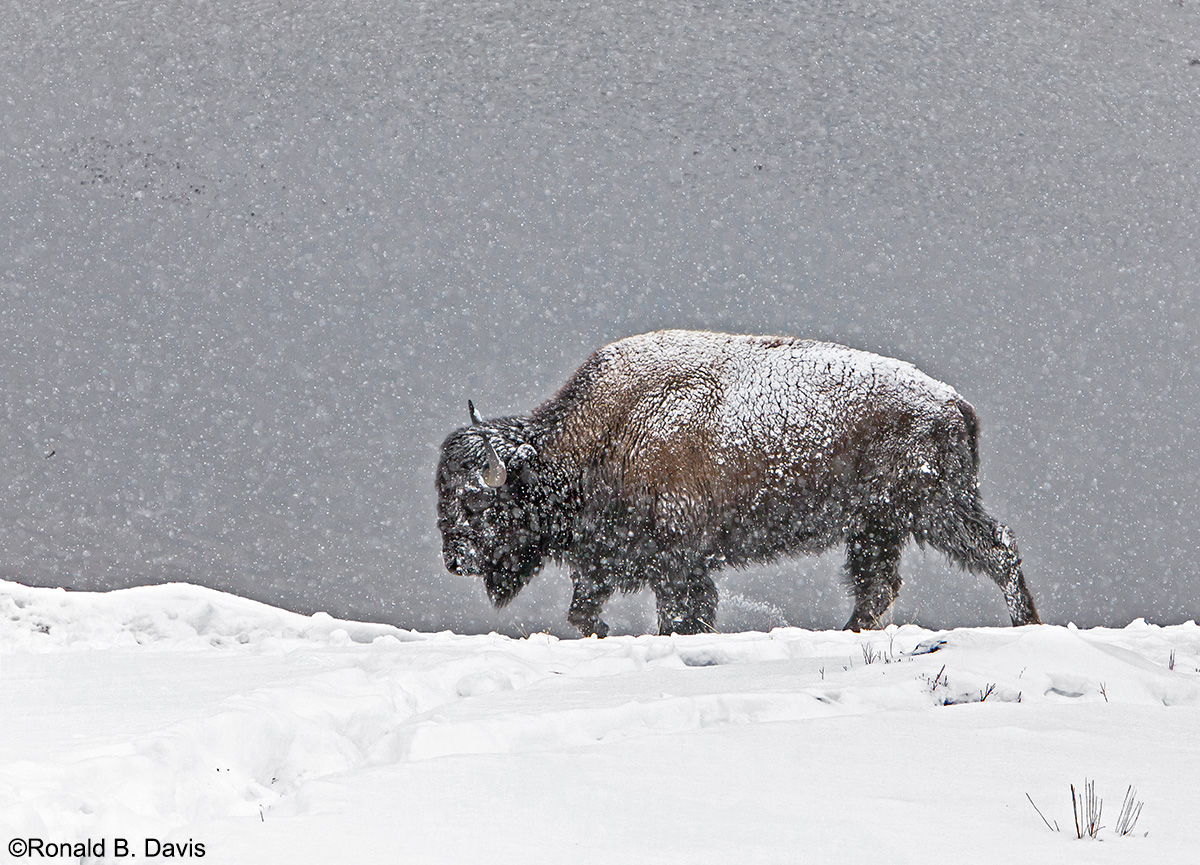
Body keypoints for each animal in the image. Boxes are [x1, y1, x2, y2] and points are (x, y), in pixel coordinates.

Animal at [437, 330, 1040, 636]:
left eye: (477, 505)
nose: (454, 561)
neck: (607, 429)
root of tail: (954, 404)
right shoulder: (608, 559)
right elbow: (582, 611)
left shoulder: (675, 560)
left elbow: (683, 613)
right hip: (877, 524)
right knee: (880, 585)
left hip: (934, 508)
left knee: (997, 550)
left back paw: (1025, 624)